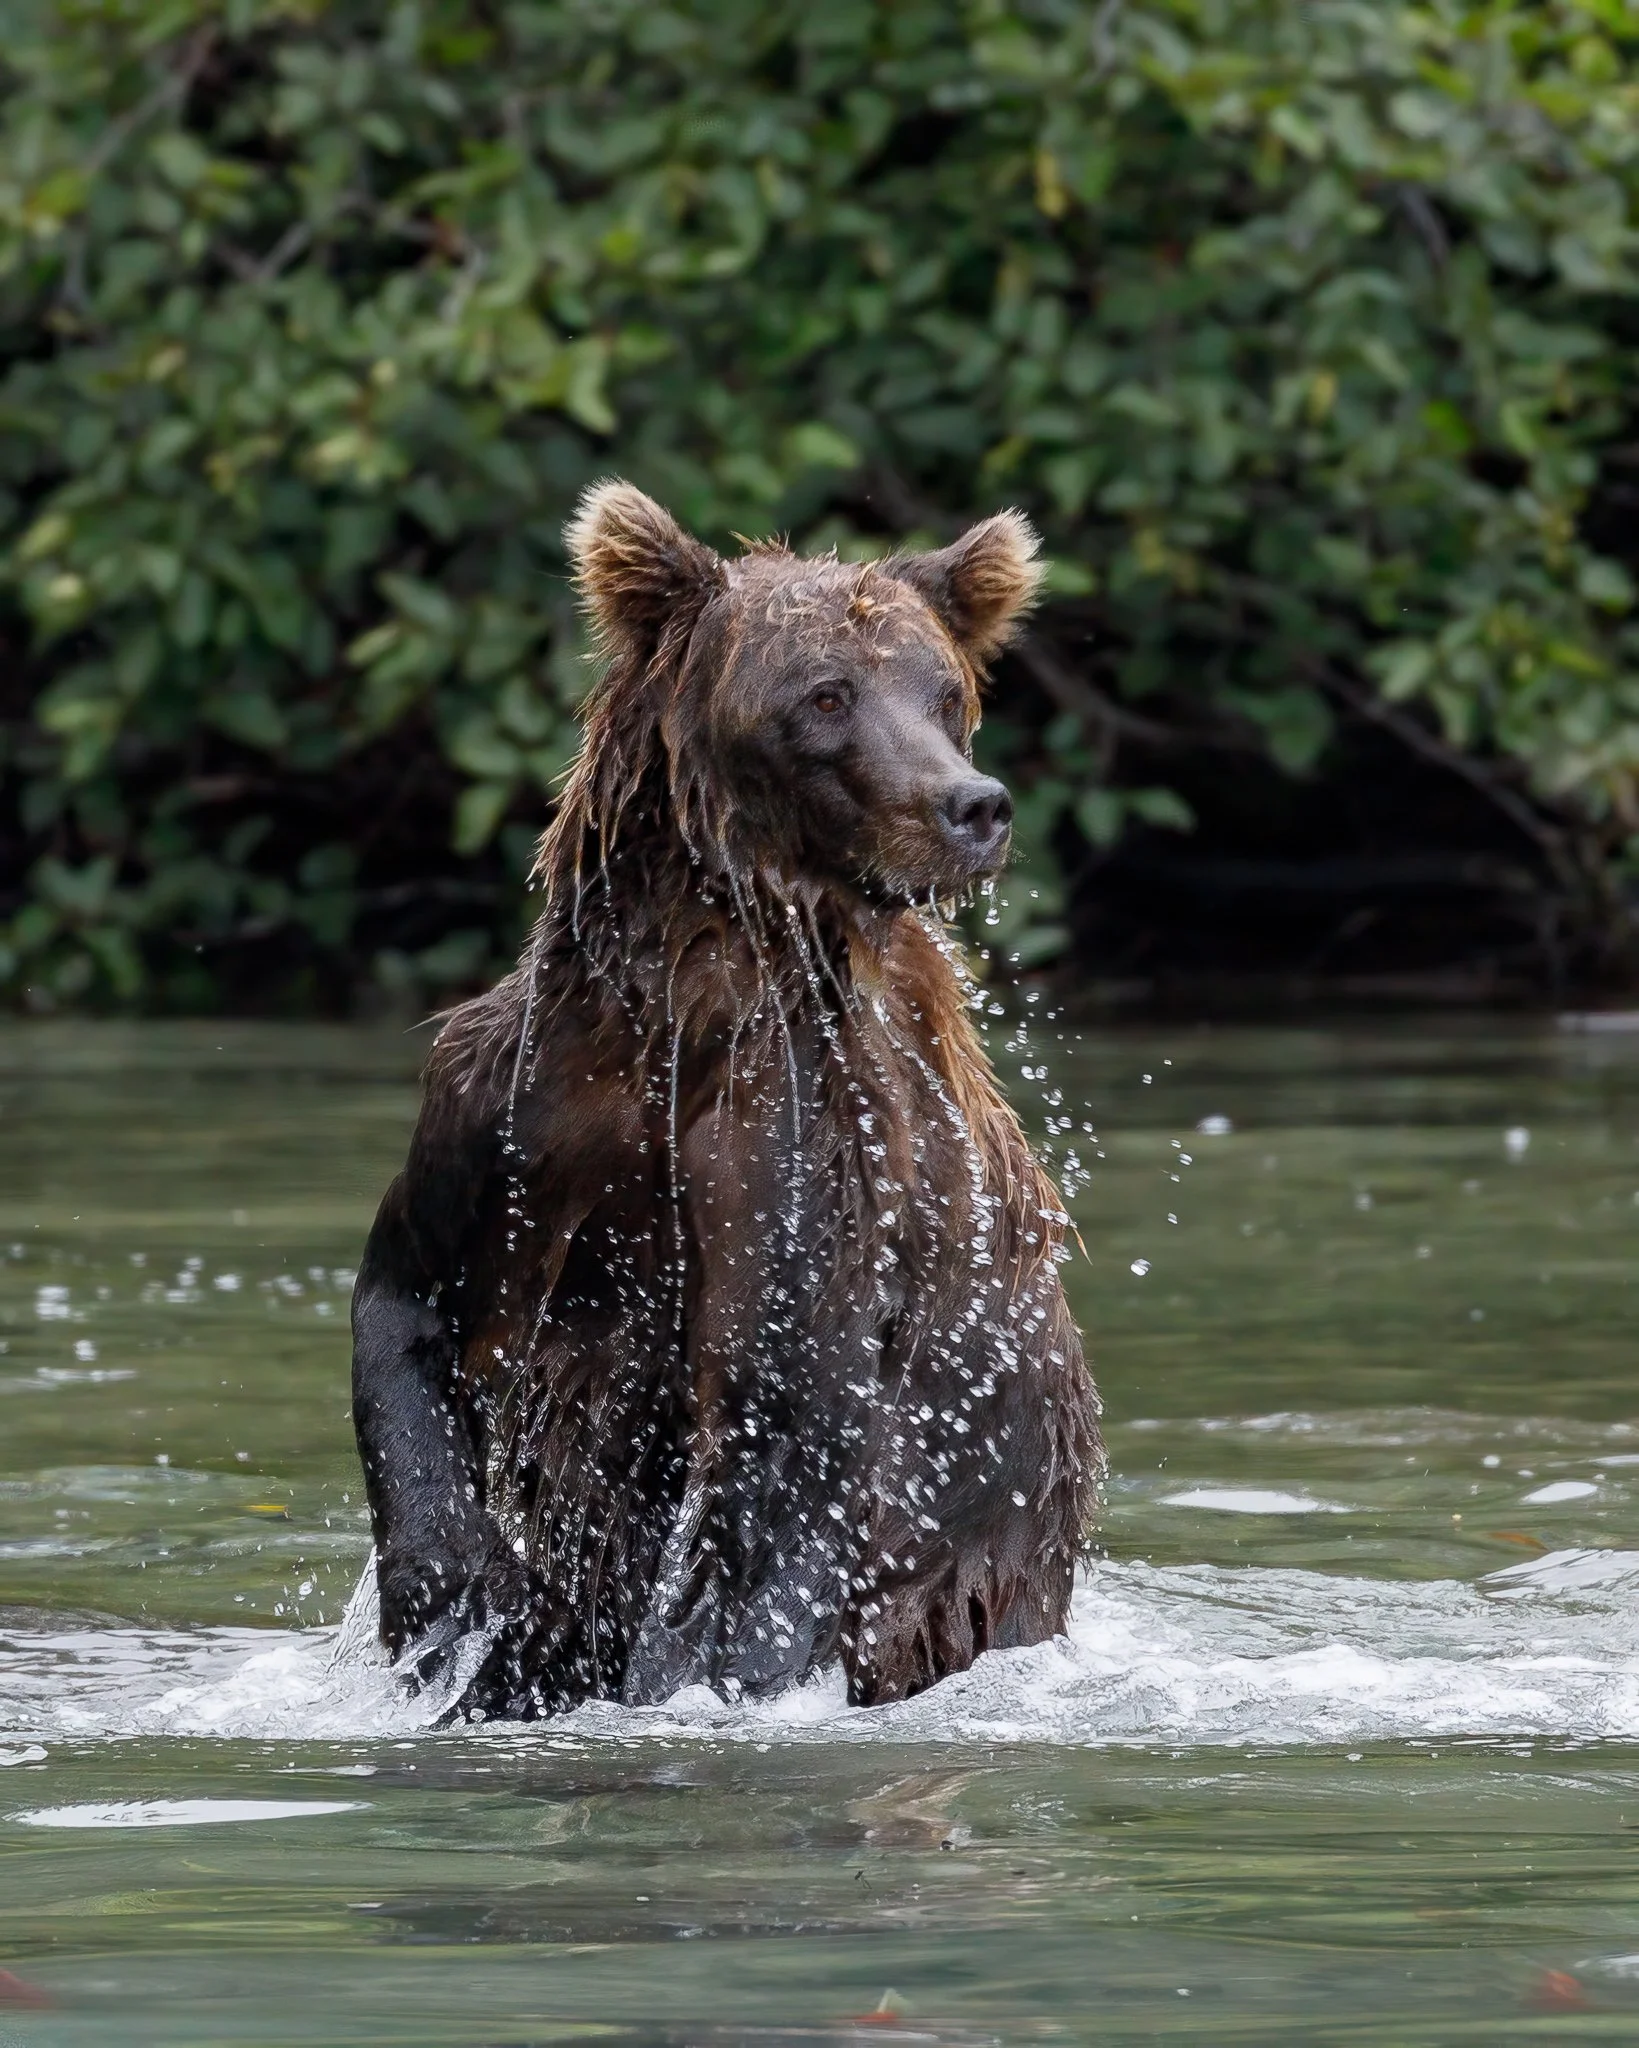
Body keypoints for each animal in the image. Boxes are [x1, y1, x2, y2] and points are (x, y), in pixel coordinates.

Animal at [350, 481, 1103, 1719]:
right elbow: (408, 1309)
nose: (970, 805)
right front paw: (469, 1611)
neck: (688, 1002)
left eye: (944, 693)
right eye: (827, 693)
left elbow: (779, 1441)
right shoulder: (519, 1110)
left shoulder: (810, 1151)